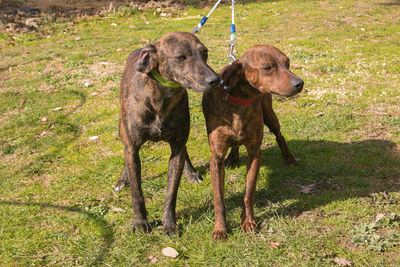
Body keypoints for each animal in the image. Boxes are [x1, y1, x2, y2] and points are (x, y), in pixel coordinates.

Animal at [117, 32, 219, 236]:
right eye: (181, 57)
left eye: (205, 53)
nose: (215, 80)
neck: (162, 96)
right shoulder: (132, 147)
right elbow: (136, 192)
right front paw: (140, 222)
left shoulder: (177, 147)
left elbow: (171, 192)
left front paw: (169, 223)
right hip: (122, 131)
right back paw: (123, 179)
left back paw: (191, 173)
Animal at [202, 45, 304, 240]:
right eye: (267, 67)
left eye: (287, 63)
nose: (300, 83)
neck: (239, 102)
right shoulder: (216, 157)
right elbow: (219, 199)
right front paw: (220, 228)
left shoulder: (255, 152)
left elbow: (249, 192)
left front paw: (248, 221)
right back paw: (232, 157)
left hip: (269, 116)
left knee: (279, 136)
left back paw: (289, 158)